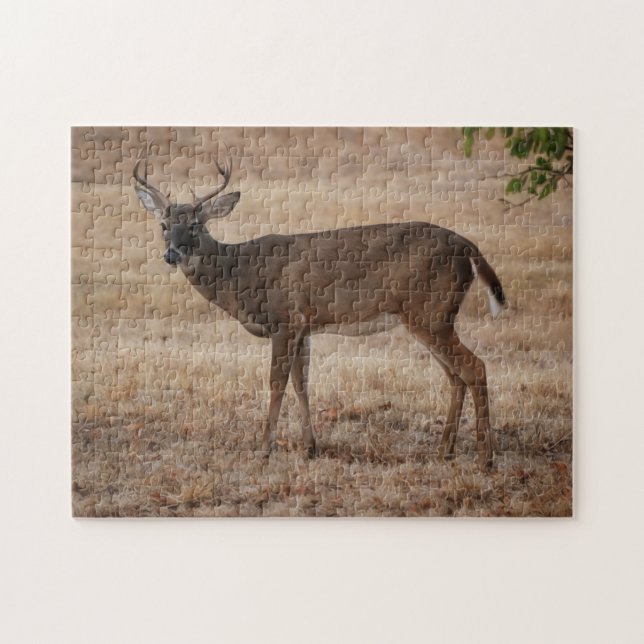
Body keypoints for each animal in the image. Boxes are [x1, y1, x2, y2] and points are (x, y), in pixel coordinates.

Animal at [133, 150, 507, 468]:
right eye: (164, 225)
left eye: (195, 225)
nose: (171, 254)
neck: (241, 273)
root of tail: (468, 247)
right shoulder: (304, 327)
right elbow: (302, 383)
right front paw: (309, 447)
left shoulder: (284, 319)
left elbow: (276, 382)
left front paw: (264, 449)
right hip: (430, 316)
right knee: (455, 376)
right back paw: (445, 451)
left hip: (429, 312)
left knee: (474, 368)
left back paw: (485, 458)